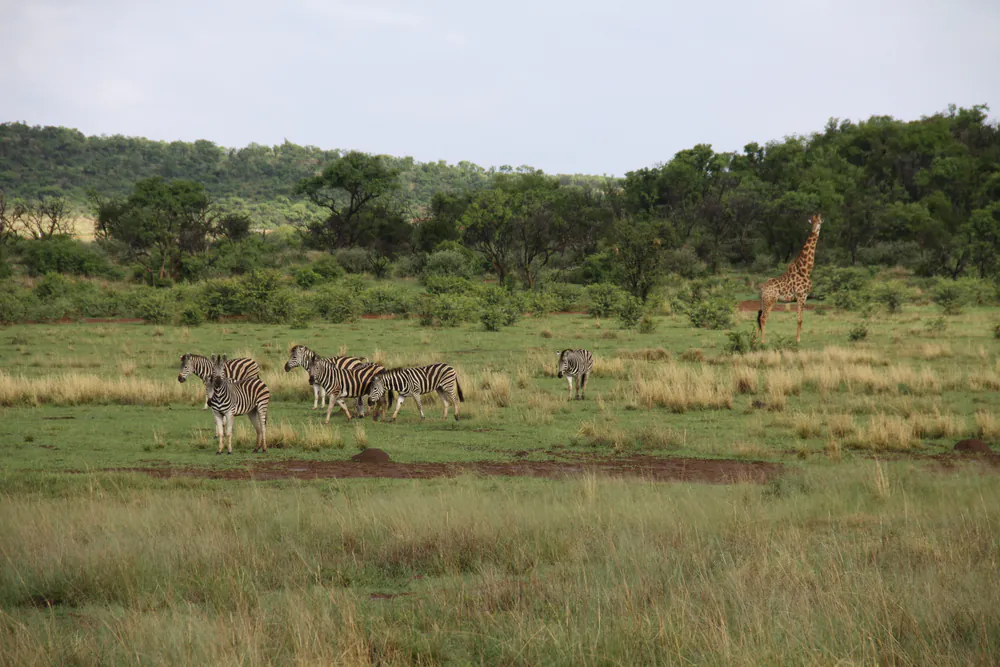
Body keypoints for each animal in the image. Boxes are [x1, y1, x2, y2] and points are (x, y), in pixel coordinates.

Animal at [757, 214, 823, 344]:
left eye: (819, 222)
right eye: (812, 222)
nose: (814, 230)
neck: (805, 269)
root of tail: (762, 288)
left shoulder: (804, 297)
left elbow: (800, 319)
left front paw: (797, 339)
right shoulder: (801, 295)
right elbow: (799, 320)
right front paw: (798, 340)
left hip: (763, 301)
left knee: (758, 318)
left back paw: (754, 340)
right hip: (770, 300)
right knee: (763, 318)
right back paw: (762, 342)